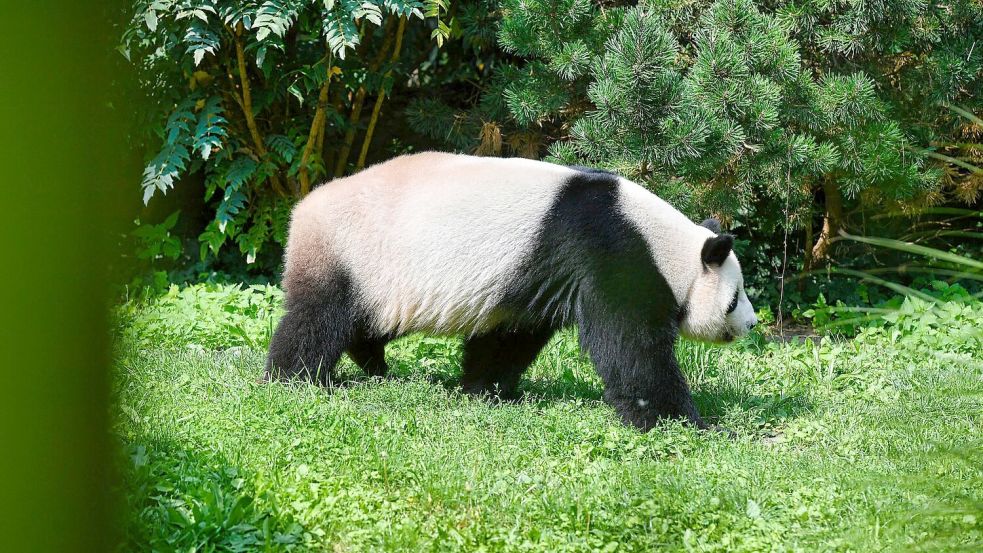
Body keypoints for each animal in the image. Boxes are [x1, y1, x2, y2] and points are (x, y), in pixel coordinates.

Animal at [266, 151, 756, 432]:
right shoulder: (610, 252)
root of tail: (302, 208)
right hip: (353, 252)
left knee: (367, 322)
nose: (752, 324)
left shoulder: (534, 277)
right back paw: (293, 379)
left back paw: (373, 363)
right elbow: (630, 347)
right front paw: (690, 423)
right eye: (734, 299)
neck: (665, 244)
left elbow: (511, 334)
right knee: (317, 318)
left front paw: (487, 389)